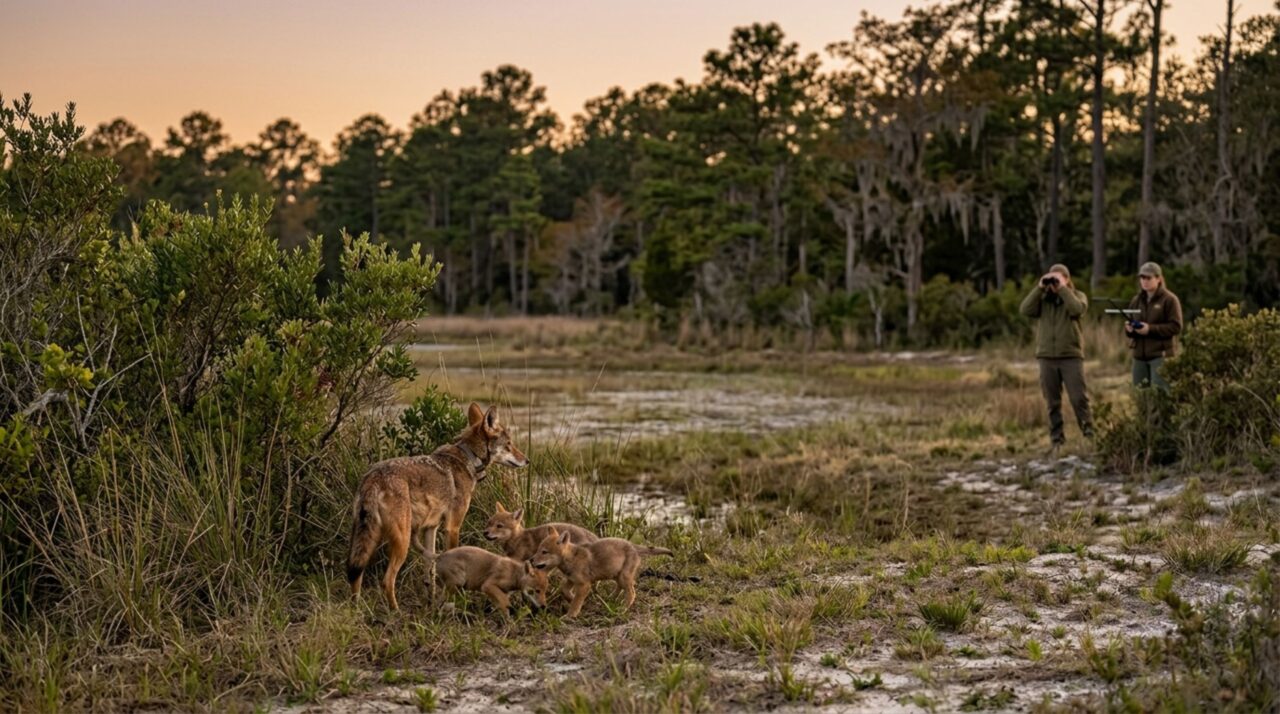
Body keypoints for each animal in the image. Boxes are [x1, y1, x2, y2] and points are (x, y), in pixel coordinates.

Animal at [347, 402, 528, 610]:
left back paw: (356, 609)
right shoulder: (453, 527)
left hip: (366, 540)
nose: (527, 460)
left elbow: (430, 571)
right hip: (402, 541)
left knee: (355, 576)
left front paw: (431, 600)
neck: (469, 458)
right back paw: (396, 611)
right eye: (509, 444)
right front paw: (457, 600)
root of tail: (373, 477)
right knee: (387, 580)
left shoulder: (430, 529)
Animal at [530, 527, 673, 617]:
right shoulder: (571, 580)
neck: (571, 558)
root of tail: (633, 545)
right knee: (621, 587)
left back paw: (623, 608)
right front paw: (572, 599)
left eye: (544, 552)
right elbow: (565, 591)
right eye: (537, 550)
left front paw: (570, 615)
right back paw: (611, 598)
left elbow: (576, 603)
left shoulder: (584, 584)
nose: (531, 560)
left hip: (623, 577)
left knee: (632, 593)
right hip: (616, 575)